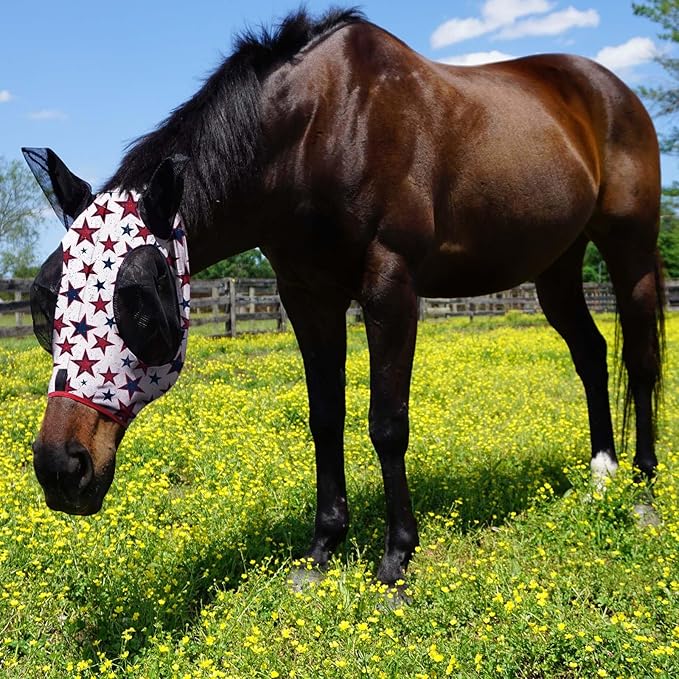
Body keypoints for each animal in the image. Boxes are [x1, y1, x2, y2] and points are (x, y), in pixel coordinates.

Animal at [25, 8, 664, 586]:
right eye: (45, 304)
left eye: (140, 302)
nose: (60, 467)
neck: (320, 129)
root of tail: (612, 90)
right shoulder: (308, 298)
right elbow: (325, 416)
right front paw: (322, 550)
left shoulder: (392, 288)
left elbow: (387, 423)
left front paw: (397, 558)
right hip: (557, 267)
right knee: (591, 354)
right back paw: (602, 474)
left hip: (629, 252)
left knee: (640, 360)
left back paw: (642, 490)